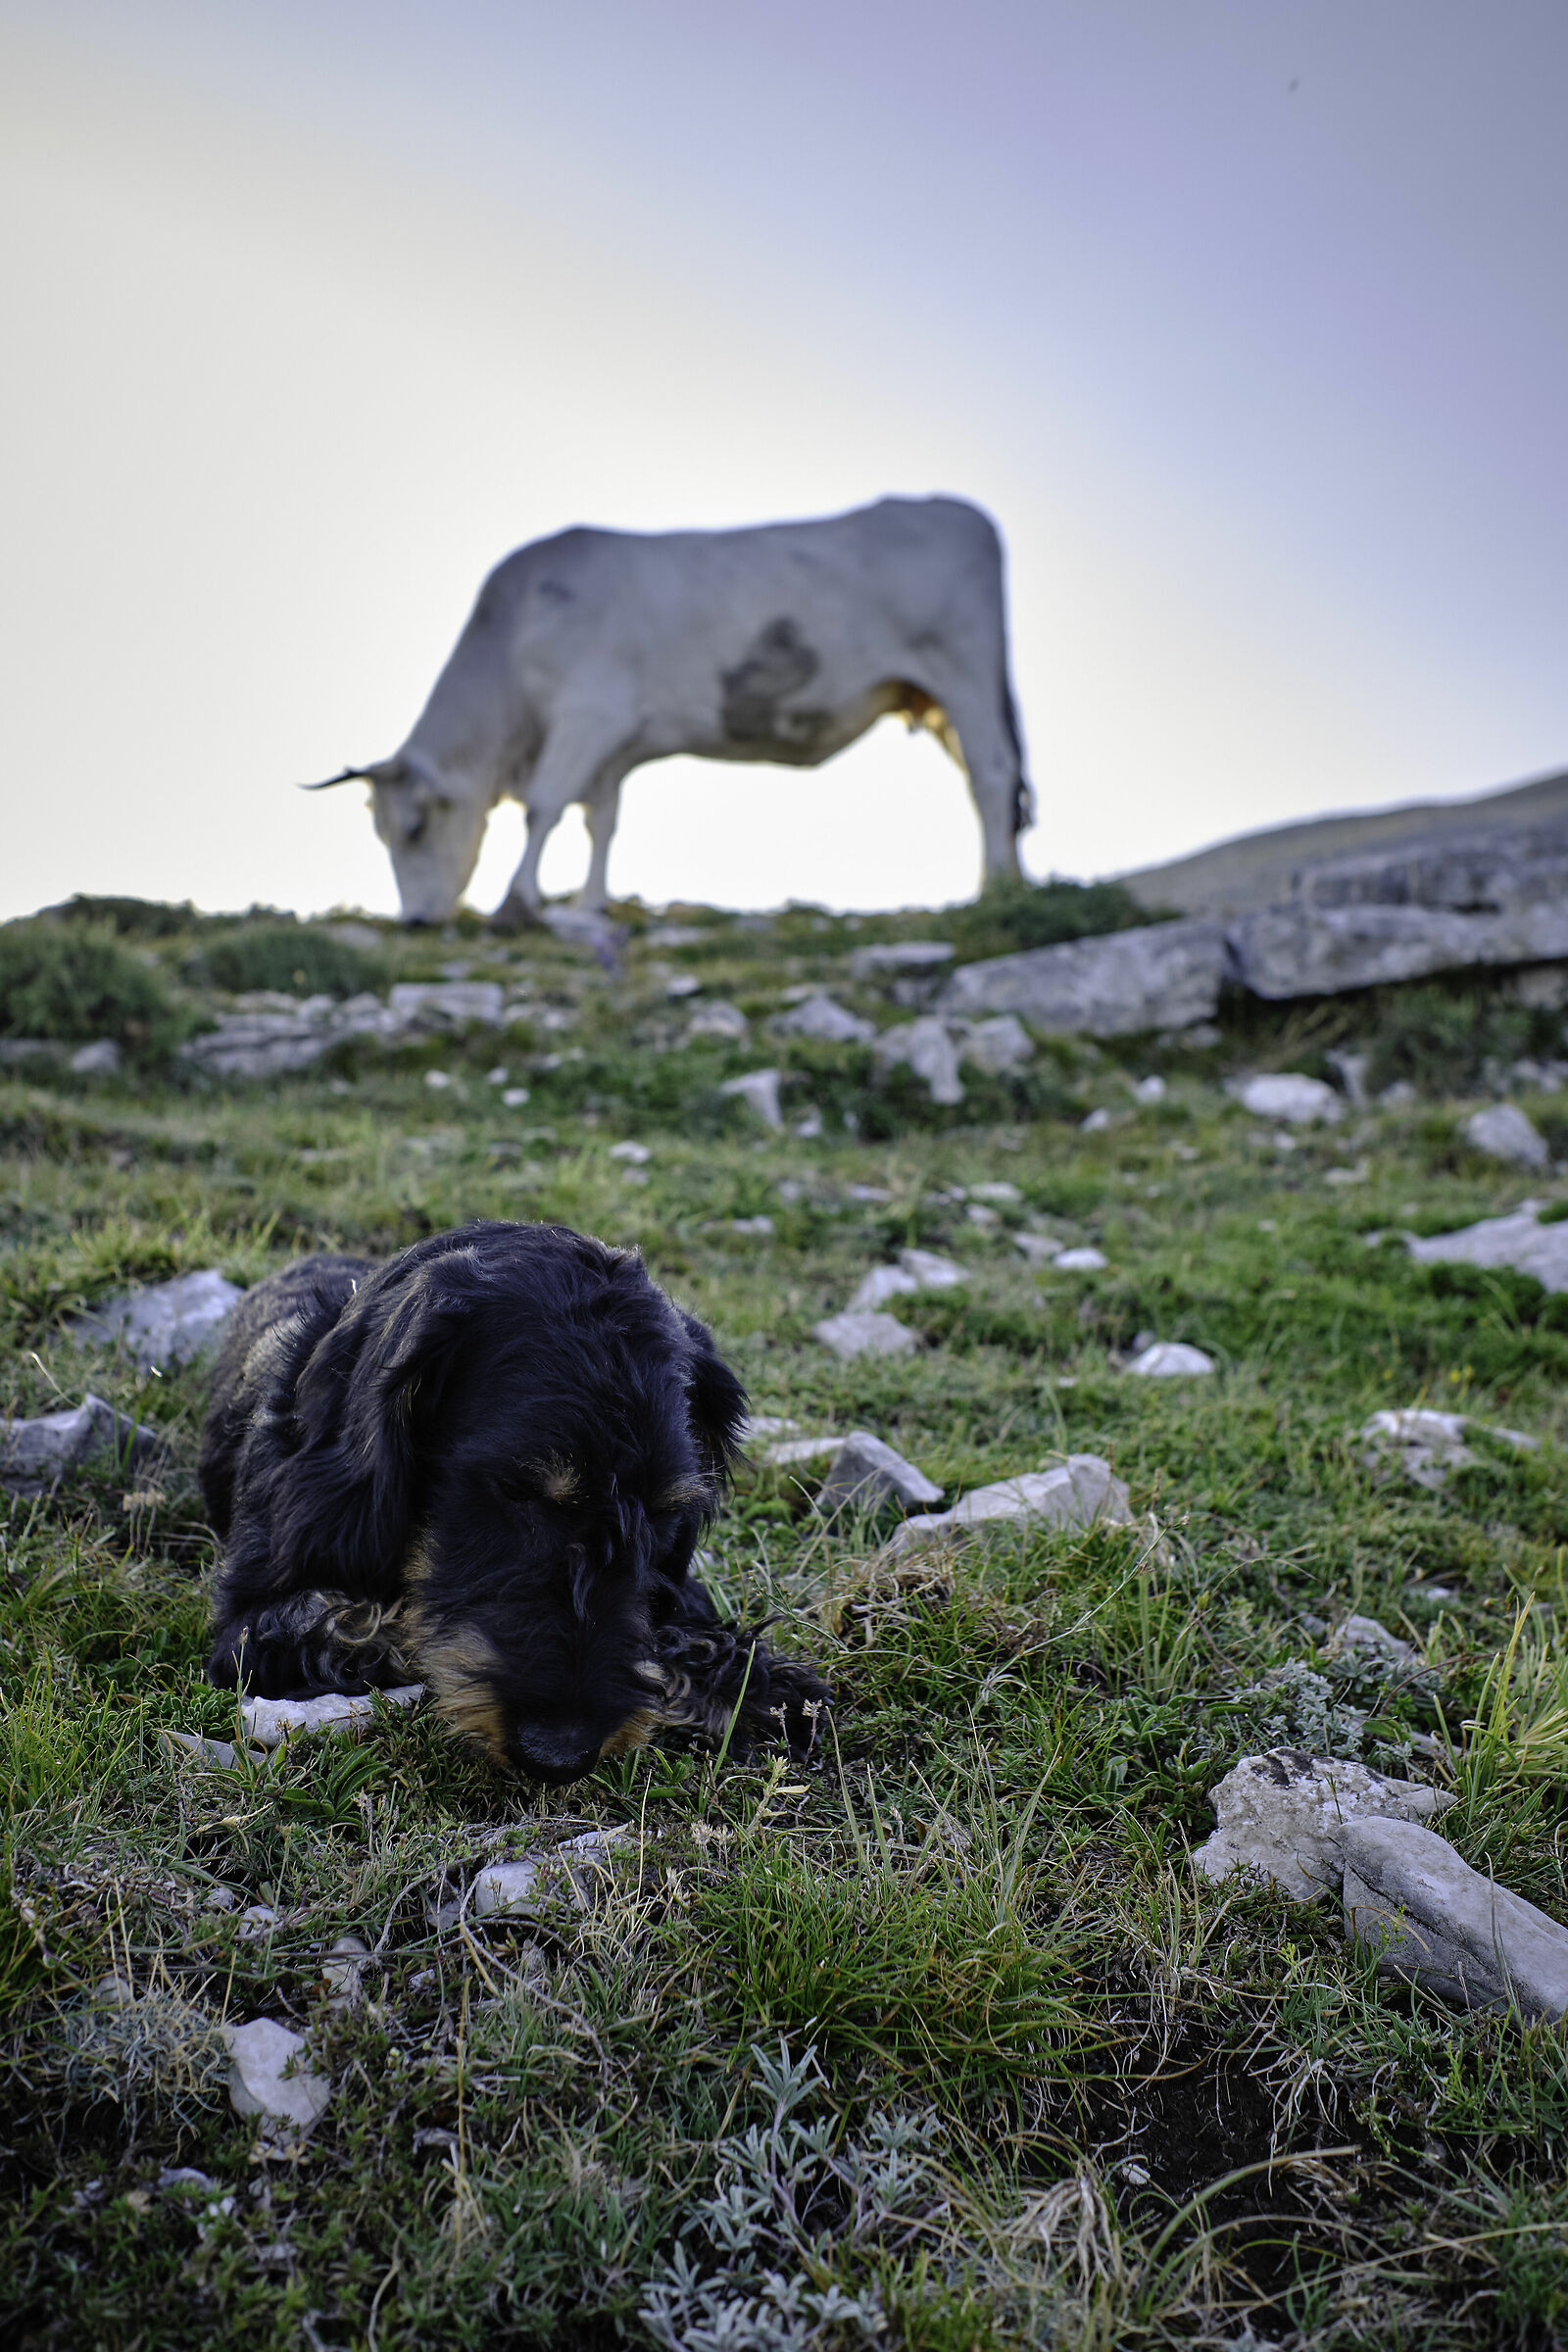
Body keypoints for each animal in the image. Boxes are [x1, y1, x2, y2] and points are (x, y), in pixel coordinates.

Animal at [304, 495, 1034, 926]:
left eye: (415, 828)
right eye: (380, 833)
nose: (415, 922)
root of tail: (963, 512)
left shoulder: (588, 712)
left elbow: (544, 806)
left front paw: (521, 900)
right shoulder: (613, 746)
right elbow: (600, 821)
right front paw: (590, 904)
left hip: (964, 671)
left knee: (993, 774)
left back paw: (995, 887)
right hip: (934, 699)